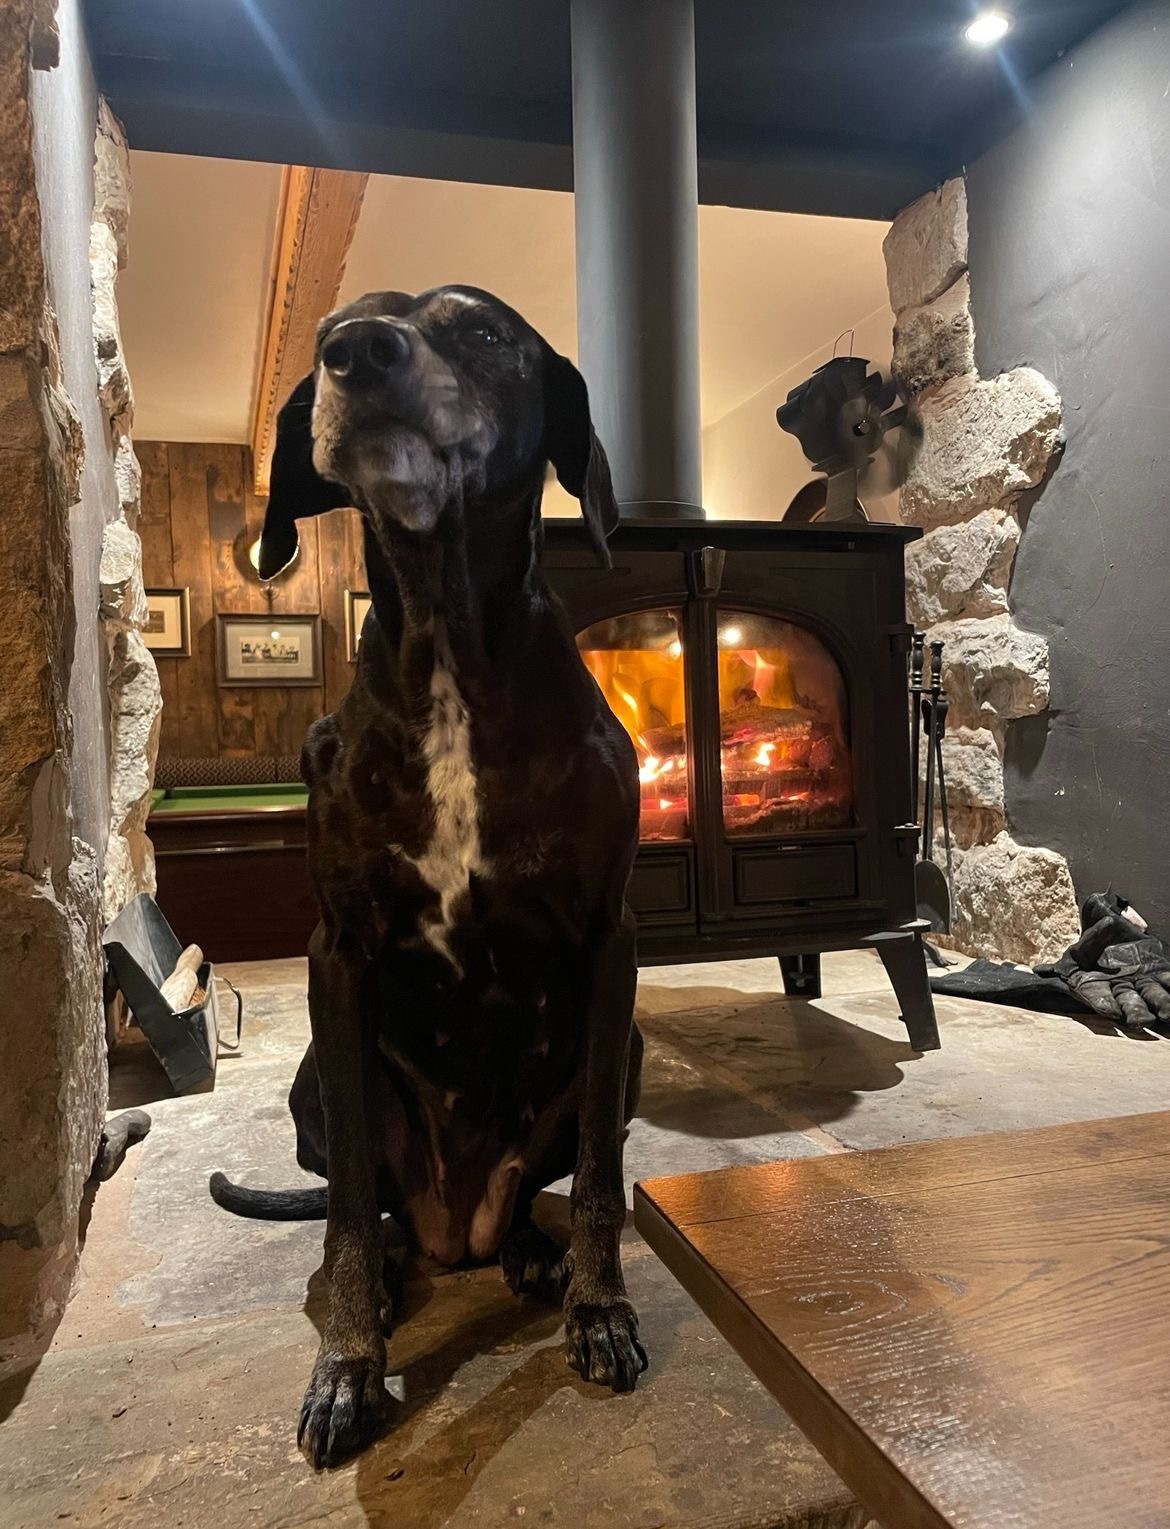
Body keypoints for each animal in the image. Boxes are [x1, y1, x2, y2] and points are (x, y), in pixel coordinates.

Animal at [212, 287, 648, 1467]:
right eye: (338, 325)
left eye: (485, 332)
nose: (354, 354)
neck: (451, 648)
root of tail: (461, 1228)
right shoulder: (336, 952)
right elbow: (349, 1213)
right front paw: (348, 1366)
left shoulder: (609, 942)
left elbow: (602, 1177)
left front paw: (600, 1306)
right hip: (316, 1078)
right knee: (368, 1211)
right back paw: (376, 1275)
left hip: (622, 1056)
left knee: (546, 1182)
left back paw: (532, 1250)